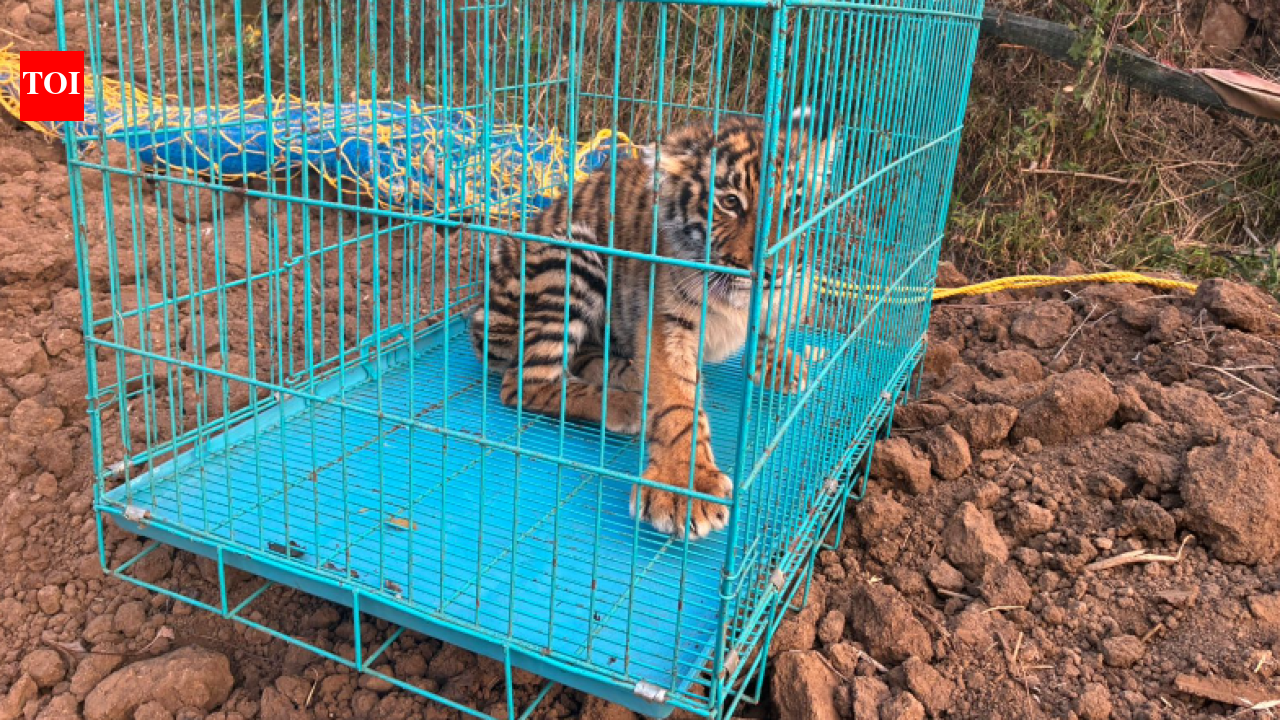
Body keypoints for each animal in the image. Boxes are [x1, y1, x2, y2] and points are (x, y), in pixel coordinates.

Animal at [469, 107, 840, 540]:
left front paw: (781, 365)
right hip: (573, 255)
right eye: (730, 202)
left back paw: (630, 377)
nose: (773, 271)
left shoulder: (794, 288)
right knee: (524, 382)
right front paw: (683, 490)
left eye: (794, 205)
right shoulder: (667, 321)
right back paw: (627, 405)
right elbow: (678, 402)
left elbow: (773, 325)